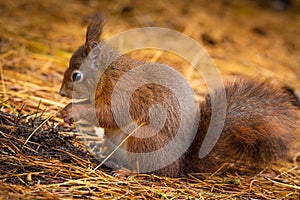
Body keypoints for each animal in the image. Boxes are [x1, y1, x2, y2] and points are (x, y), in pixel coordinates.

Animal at [59, 14, 298, 177]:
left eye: (76, 75)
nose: (61, 92)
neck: (108, 73)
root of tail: (180, 165)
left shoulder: (123, 93)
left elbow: (108, 114)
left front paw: (72, 111)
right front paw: (66, 110)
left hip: (146, 140)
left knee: (145, 170)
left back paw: (127, 172)